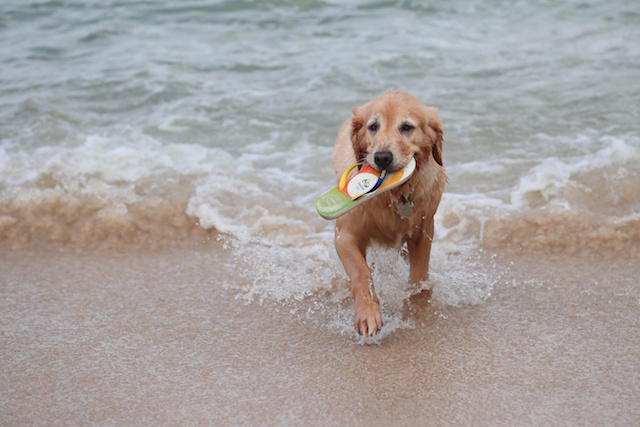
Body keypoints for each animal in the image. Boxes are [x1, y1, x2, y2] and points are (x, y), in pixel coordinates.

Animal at [332, 91, 448, 338]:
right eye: (373, 126)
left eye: (407, 127)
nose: (382, 157)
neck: (394, 194)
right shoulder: (345, 235)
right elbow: (361, 273)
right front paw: (368, 314)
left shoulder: (424, 230)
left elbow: (419, 276)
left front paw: (417, 308)